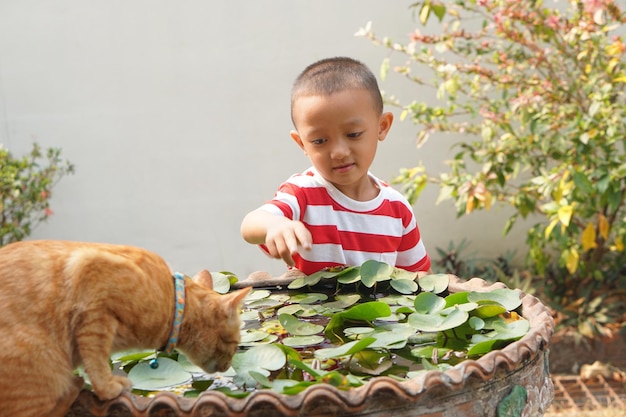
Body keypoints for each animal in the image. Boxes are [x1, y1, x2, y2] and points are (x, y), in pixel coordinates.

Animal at [0, 239, 249, 416]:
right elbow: (97, 360)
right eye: (235, 344)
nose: (228, 366)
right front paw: (109, 386)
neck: (170, 301)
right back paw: (74, 386)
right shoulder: (94, 300)